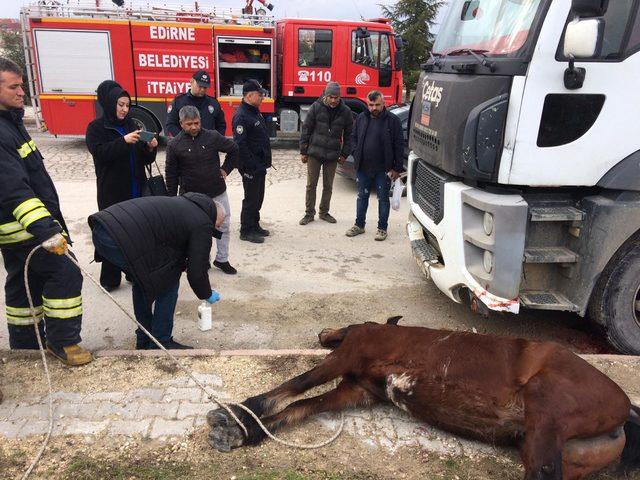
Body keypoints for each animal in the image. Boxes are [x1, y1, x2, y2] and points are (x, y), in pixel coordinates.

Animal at [208, 316, 636, 478]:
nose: (321, 333)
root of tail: (624, 410)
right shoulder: (357, 391)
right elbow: (300, 406)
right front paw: (246, 429)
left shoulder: (349, 355)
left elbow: (295, 385)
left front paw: (236, 418)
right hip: (550, 446)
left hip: (547, 413)